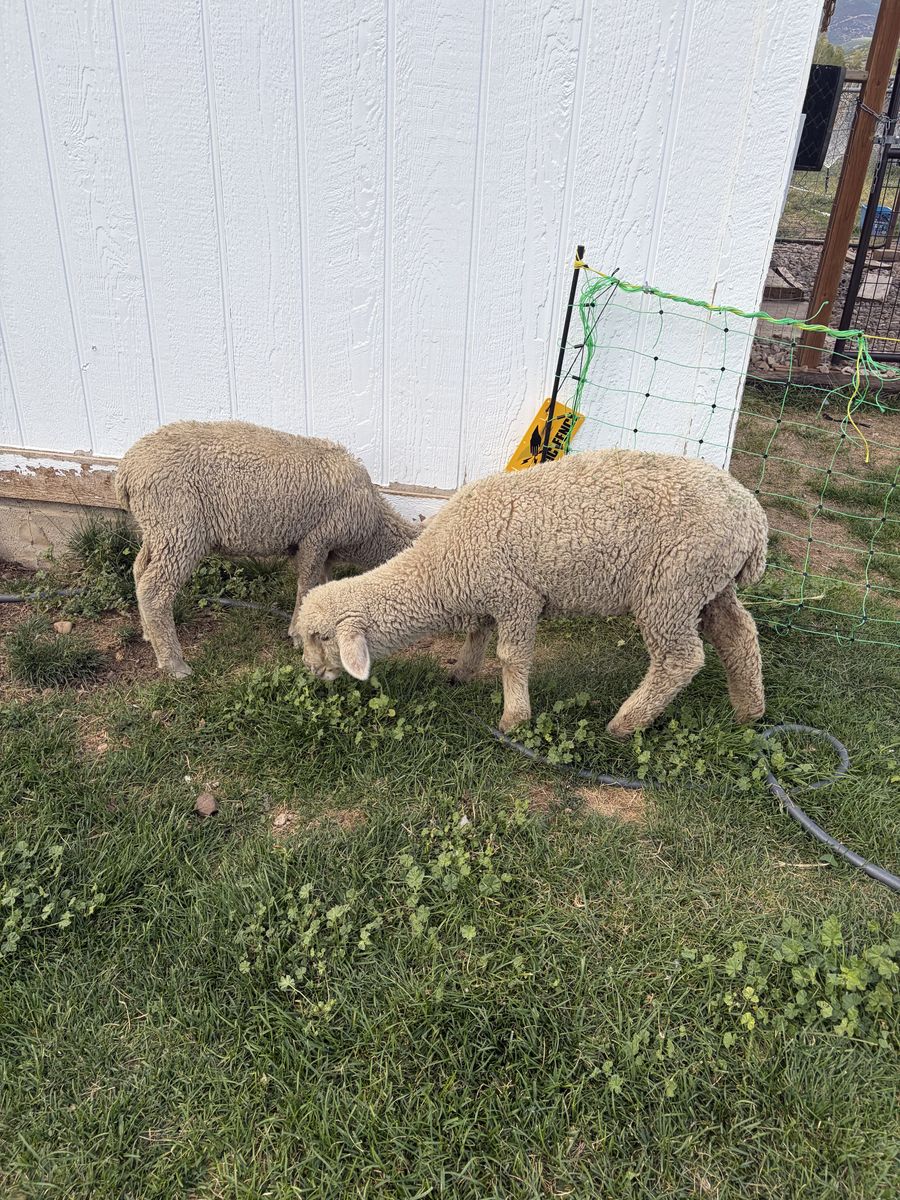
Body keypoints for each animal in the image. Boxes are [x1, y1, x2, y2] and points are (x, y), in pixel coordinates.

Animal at [115, 420, 420, 678]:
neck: (372, 527)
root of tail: (127, 470)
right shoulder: (316, 539)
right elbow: (306, 585)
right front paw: (297, 633)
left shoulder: (324, 549)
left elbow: (320, 585)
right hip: (178, 526)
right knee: (154, 590)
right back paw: (174, 664)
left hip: (158, 529)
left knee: (139, 571)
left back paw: (148, 634)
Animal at [295, 448, 767, 737]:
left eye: (322, 637)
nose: (311, 671)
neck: (439, 570)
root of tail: (754, 519)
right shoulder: (487, 594)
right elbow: (477, 635)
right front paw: (461, 673)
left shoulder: (516, 597)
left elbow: (510, 657)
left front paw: (514, 718)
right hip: (708, 584)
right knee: (739, 635)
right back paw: (749, 711)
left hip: (672, 586)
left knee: (679, 660)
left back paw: (625, 723)